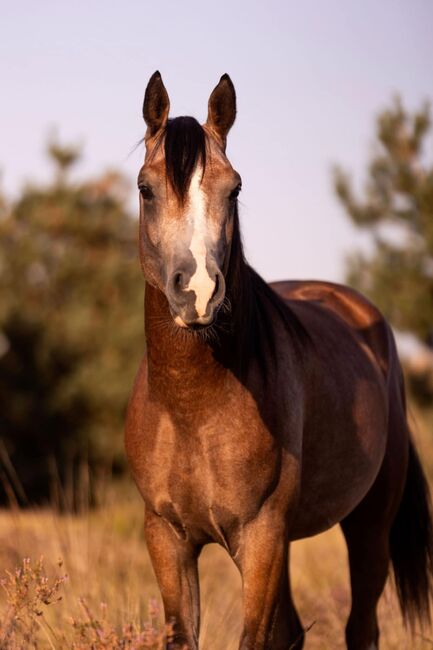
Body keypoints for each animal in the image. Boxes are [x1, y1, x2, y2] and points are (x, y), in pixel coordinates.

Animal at [124, 72, 432, 648]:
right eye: (145, 188)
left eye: (235, 188)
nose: (198, 292)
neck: (192, 407)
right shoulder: (167, 539)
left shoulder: (262, 537)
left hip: (369, 527)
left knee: (361, 626)